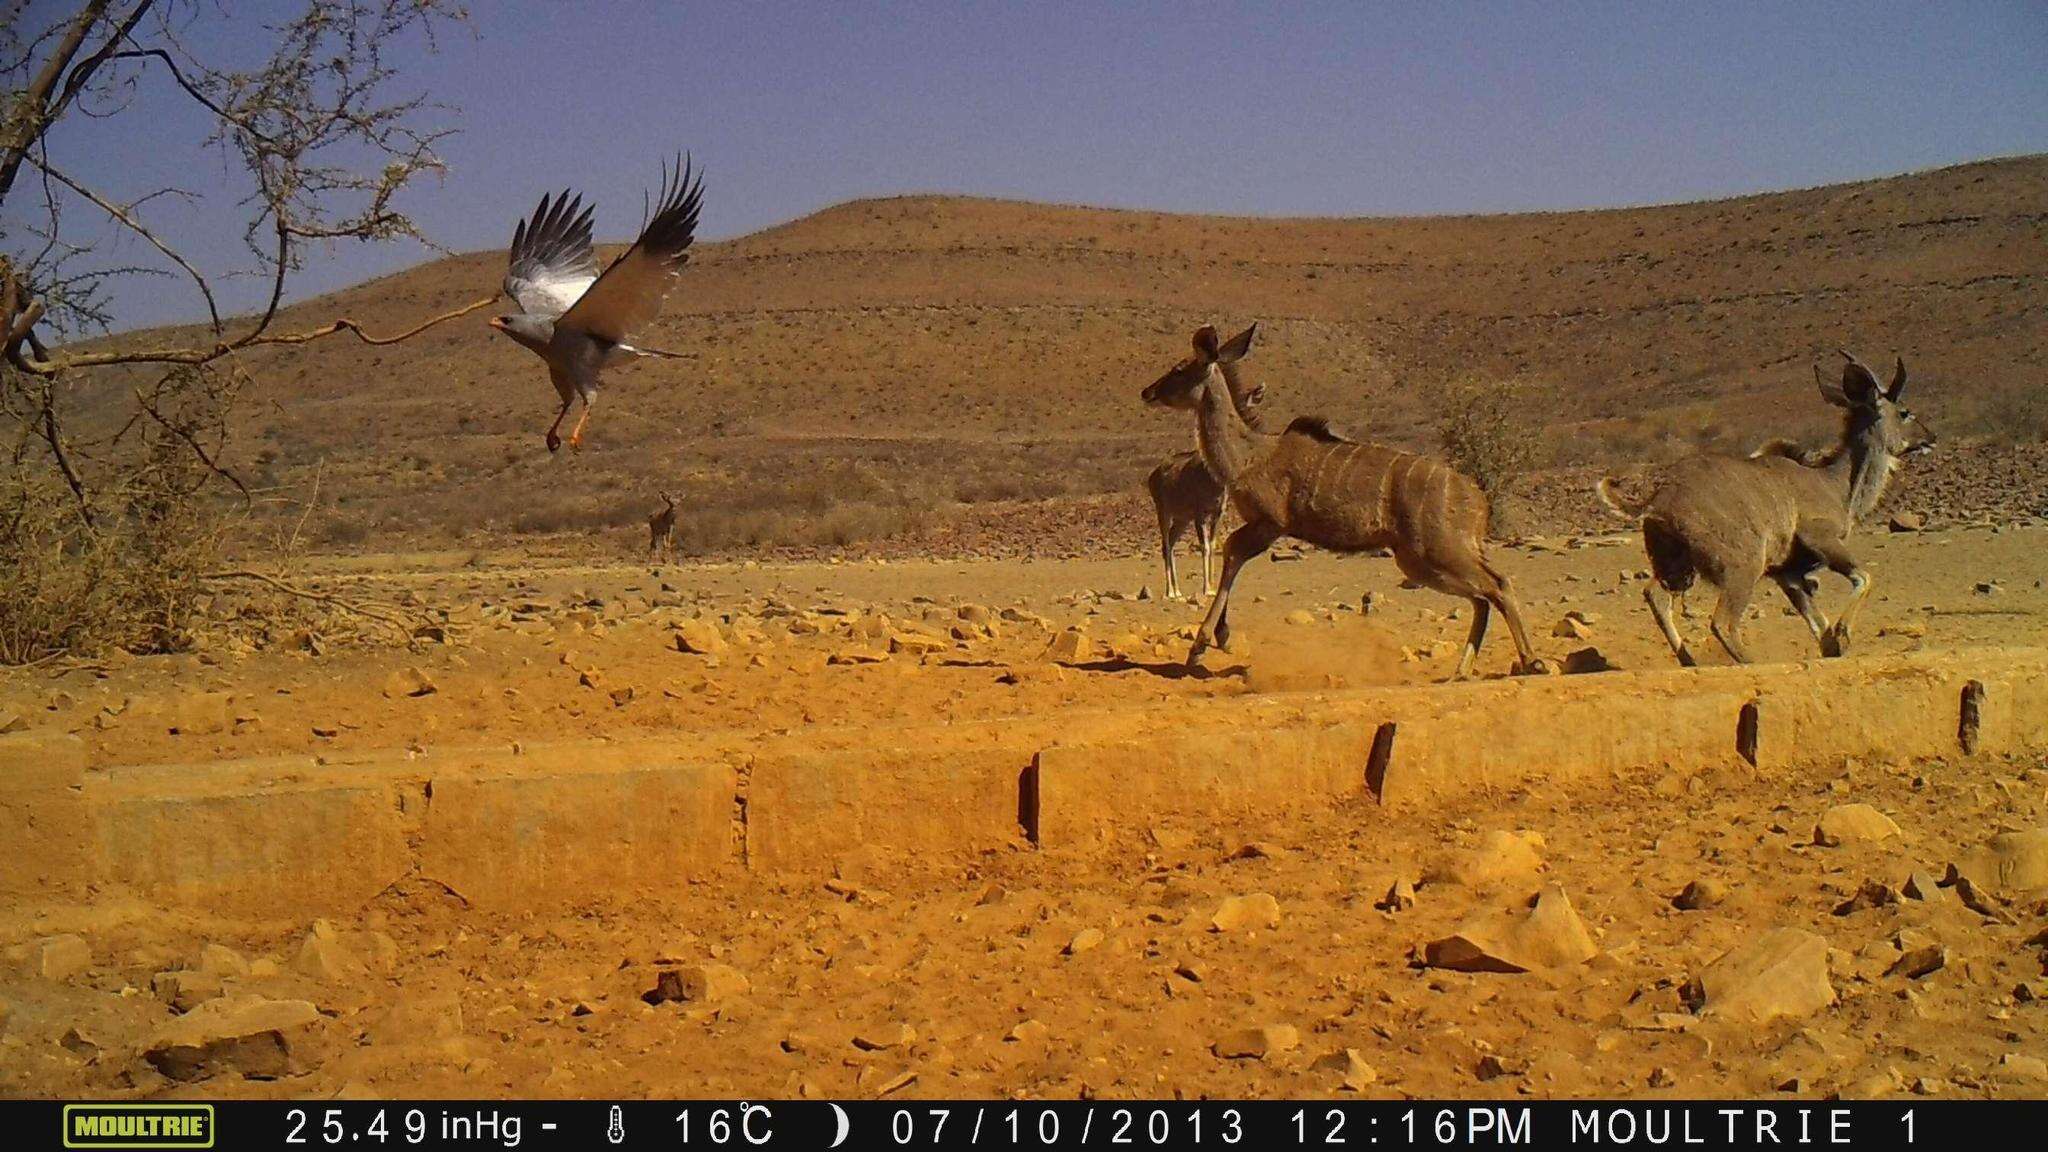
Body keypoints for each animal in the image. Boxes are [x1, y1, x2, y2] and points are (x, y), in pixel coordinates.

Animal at [1138, 323, 1540, 676]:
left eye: (1179, 368)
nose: (1147, 392)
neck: (1251, 454)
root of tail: (1478, 501)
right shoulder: (1262, 526)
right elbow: (1231, 554)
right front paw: (1218, 637)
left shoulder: (1271, 523)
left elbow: (1232, 551)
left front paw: (1203, 643)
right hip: (1417, 562)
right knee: (1482, 597)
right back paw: (1461, 671)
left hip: (1437, 550)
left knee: (1498, 585)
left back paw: (1533, 662)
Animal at [1597, 350, 1933, 664]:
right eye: (1905, 412)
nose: (1931, 437)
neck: (1834, 484)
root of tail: (1659, 499)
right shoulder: (1820, 539)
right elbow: (1863, 578)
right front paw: (1843, 635)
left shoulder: (1788, 574)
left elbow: (1819, 627)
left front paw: (1835, 641)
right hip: (1743, 565)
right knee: (1722, 621)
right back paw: (1746, 661)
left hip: (1678, 568)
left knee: (1656, 596)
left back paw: (1690, 661)